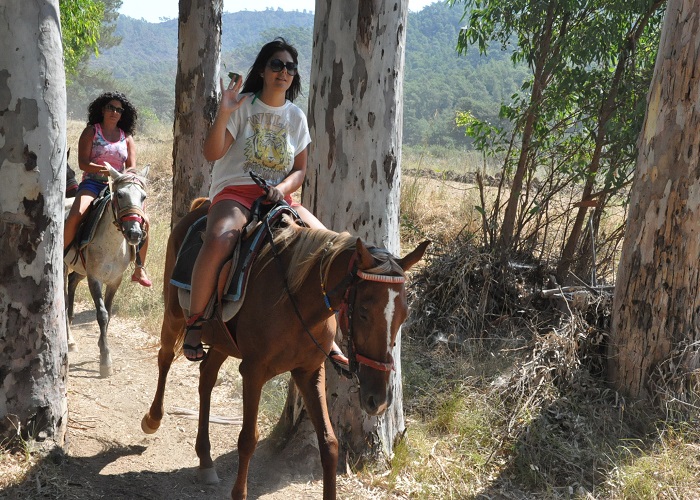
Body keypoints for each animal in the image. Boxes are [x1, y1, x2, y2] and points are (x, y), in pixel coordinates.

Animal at [64, 166, 149, 376]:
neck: (112, 245)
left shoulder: (114, 280)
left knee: (72, 283)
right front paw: (105, 360)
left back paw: (70, 341)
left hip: (80, 269)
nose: (135, 233)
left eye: (143, 197)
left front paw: (102, 346)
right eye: (120, 194)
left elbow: (109, 314)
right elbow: (101, 315)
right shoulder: (94, 278)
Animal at [141, 201, 426, 498]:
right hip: (174, 316)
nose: (378, 400)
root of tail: (199, 207)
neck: (297, 301)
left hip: (221, 340)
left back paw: (206, 459)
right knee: (165, 357)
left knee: (206, 377)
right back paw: (153, 418)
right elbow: (247, 439)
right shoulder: (252, 372)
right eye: (363, 313)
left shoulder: (309, 372)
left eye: (403, 315)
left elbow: (329, 443)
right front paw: (239, 492)